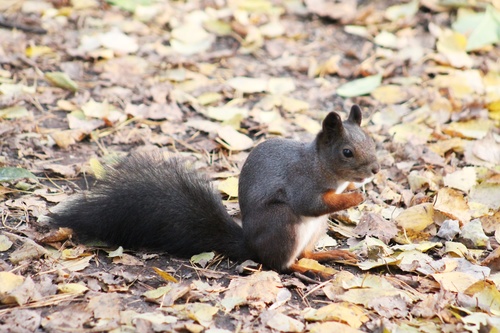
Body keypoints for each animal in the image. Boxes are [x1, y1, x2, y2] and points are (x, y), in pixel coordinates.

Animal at [50, 104, 378, 274]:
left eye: (372, 141)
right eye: (347, 152)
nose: (375, 170)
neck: (320, 164)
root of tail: (251, 246)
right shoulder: (302, 184)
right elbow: (312, 204)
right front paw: (355, 195)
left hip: (315, 229)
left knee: (306, 253)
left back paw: (329, 256)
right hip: (283, 225)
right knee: (282, 264)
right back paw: (311, 269)